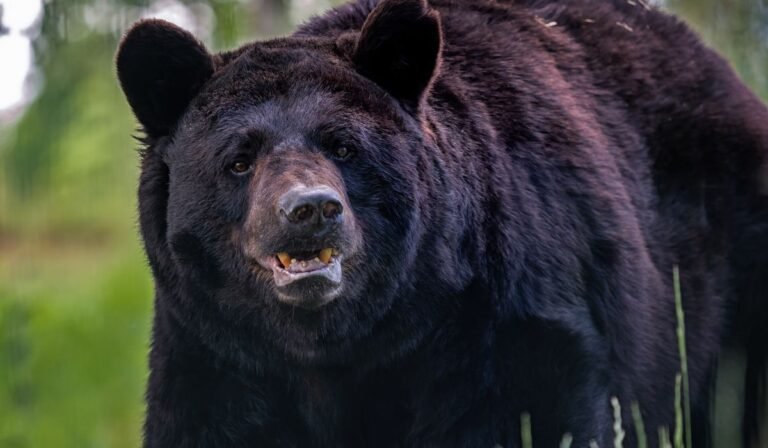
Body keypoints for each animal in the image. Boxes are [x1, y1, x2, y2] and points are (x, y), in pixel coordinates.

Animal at [115, 0, 768, 446]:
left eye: (343, 146)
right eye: (239, 159)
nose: (311, 210)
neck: (340, 345)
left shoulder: (498, 321)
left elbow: (536, 412)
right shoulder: (218, 350)